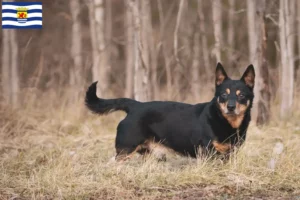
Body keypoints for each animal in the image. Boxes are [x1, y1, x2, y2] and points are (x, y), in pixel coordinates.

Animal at [85, 63, 255, 162]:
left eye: (241, 95)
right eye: (224, 95)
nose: (230, 107)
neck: (225, 121)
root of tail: (135, 106)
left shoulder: (230, 154)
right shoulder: (207, 153)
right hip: (126, 149)